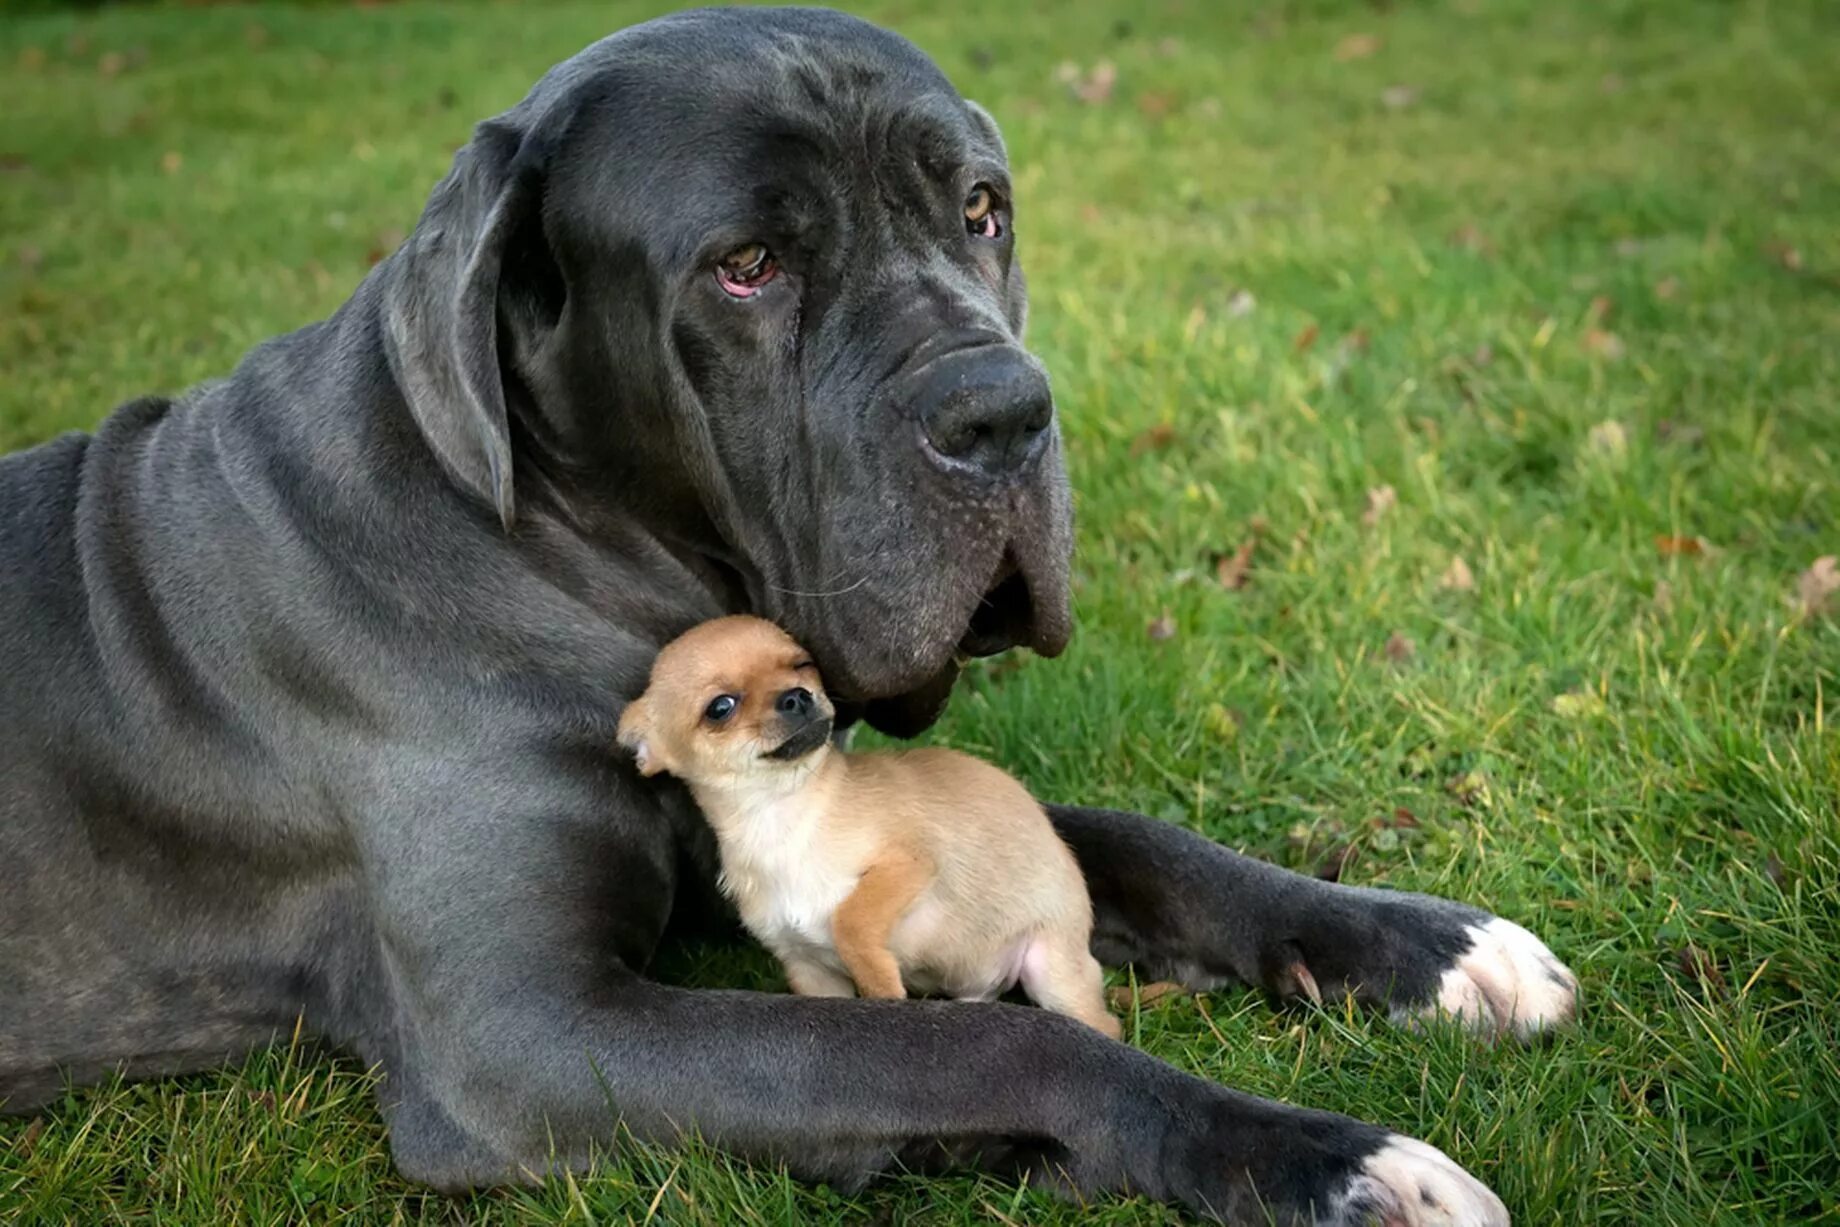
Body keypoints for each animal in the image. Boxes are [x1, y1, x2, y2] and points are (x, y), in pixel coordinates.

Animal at [618, 614, 1111, 1037]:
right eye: (720, 708)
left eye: (803, 665)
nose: (797, 695)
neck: (780, 817)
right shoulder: (808, 969)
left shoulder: (910, 863)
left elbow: (850, 917)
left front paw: (880, 987)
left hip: (1052, 970)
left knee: (1103, 1024)